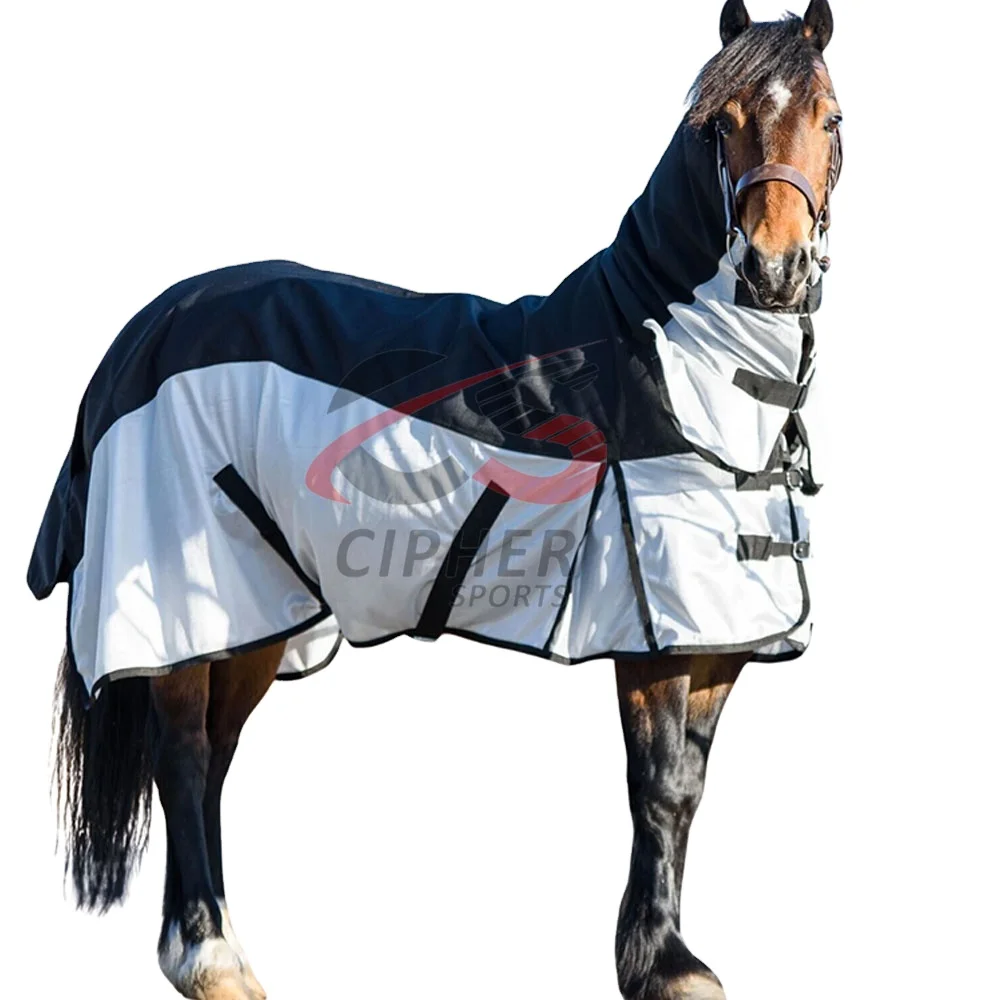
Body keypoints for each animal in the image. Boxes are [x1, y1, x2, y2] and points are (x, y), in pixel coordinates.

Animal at [35, 2, 843, 997]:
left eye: (831, 119)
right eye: (716, 125)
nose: (776, 268)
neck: (665, 364)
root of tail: (143, 333)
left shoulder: (720, 637)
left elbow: (687, 790)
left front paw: (669, 959)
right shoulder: (651, 633)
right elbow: (655, 786)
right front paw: (656, 967)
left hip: (255, 609)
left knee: (212, 756)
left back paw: (203, 947)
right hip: (187, 605)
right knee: (181, 754)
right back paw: (213, 958)